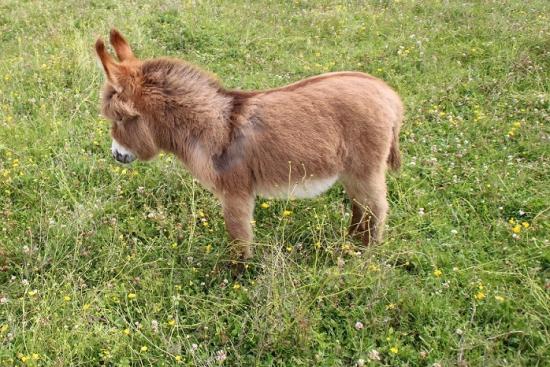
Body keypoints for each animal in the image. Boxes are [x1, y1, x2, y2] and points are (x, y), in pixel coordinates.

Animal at [96, 30, 406, 262]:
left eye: (119, 118)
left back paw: (365, 255)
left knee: (376, 210)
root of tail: (388, 94)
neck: (209, 127)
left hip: (365, 170)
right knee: (361, 209)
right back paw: (351, 243)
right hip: (352, 172)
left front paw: (237, 278)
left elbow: (238, 237)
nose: (116, 154)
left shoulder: (235, 193)